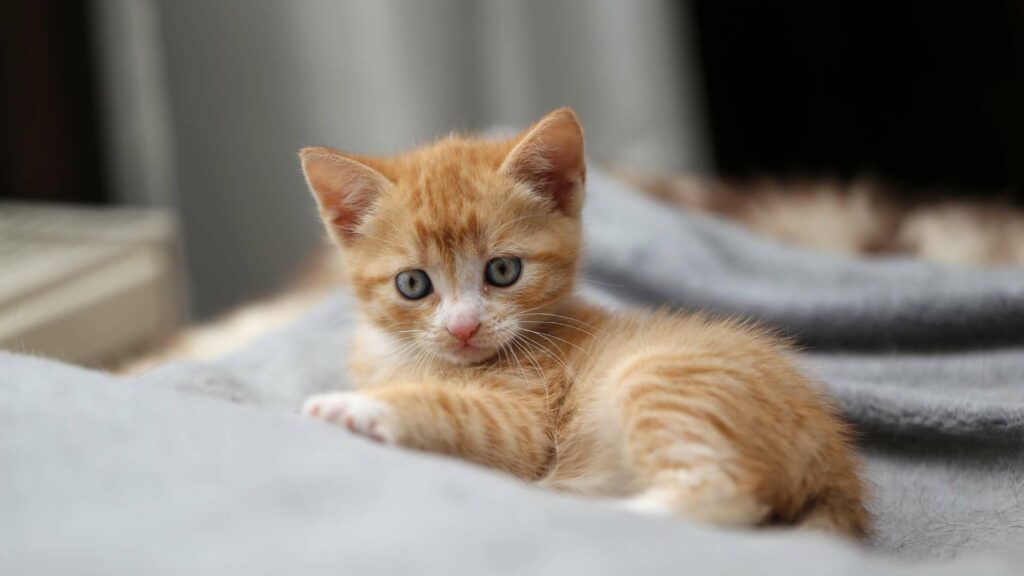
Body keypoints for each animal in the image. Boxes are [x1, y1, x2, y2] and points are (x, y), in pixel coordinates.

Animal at [299, 106, 868, 532]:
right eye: (413, 284)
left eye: (502, 270)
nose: (464, 327)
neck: (410, 358)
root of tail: (835, 466)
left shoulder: (525, 419)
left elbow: (452, 410)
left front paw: (358, 406)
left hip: (659, 378)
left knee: (727, 496)